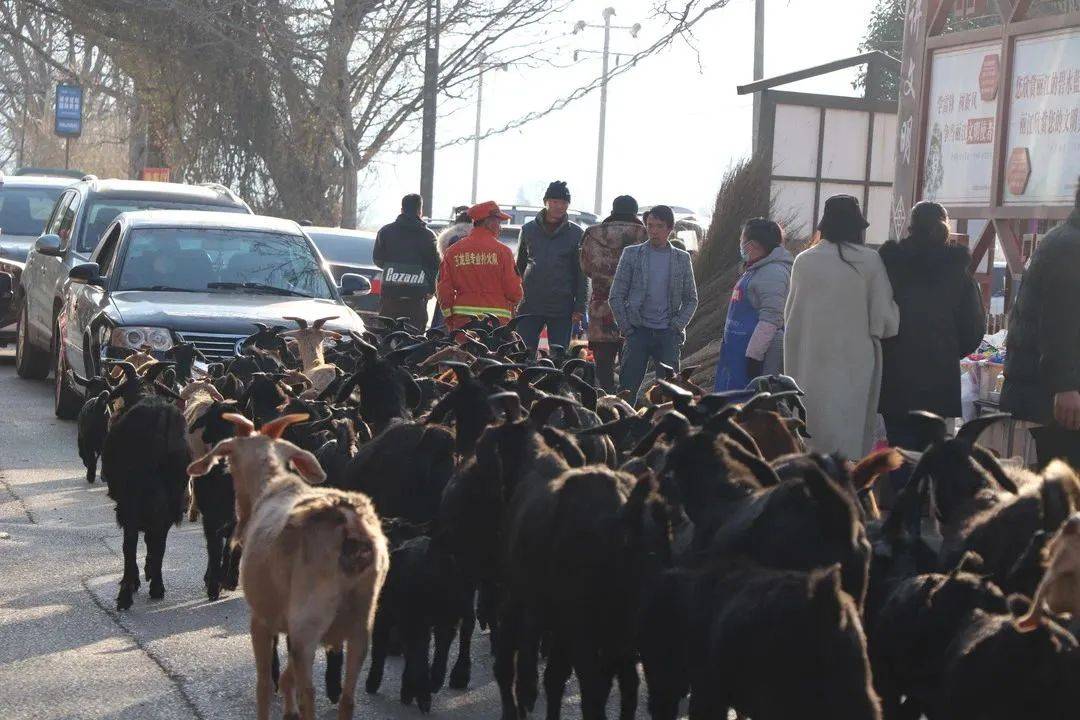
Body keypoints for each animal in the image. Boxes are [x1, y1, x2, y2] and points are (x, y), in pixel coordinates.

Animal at [189, 410, 388, 720]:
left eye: (230, 463)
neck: (272, 485)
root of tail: (348, 524)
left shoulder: (261, 618)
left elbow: (263, 684)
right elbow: (286, 675)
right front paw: (288, 707)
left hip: (310, 619)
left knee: (310, 693)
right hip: (359, 625)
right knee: (347, 698)